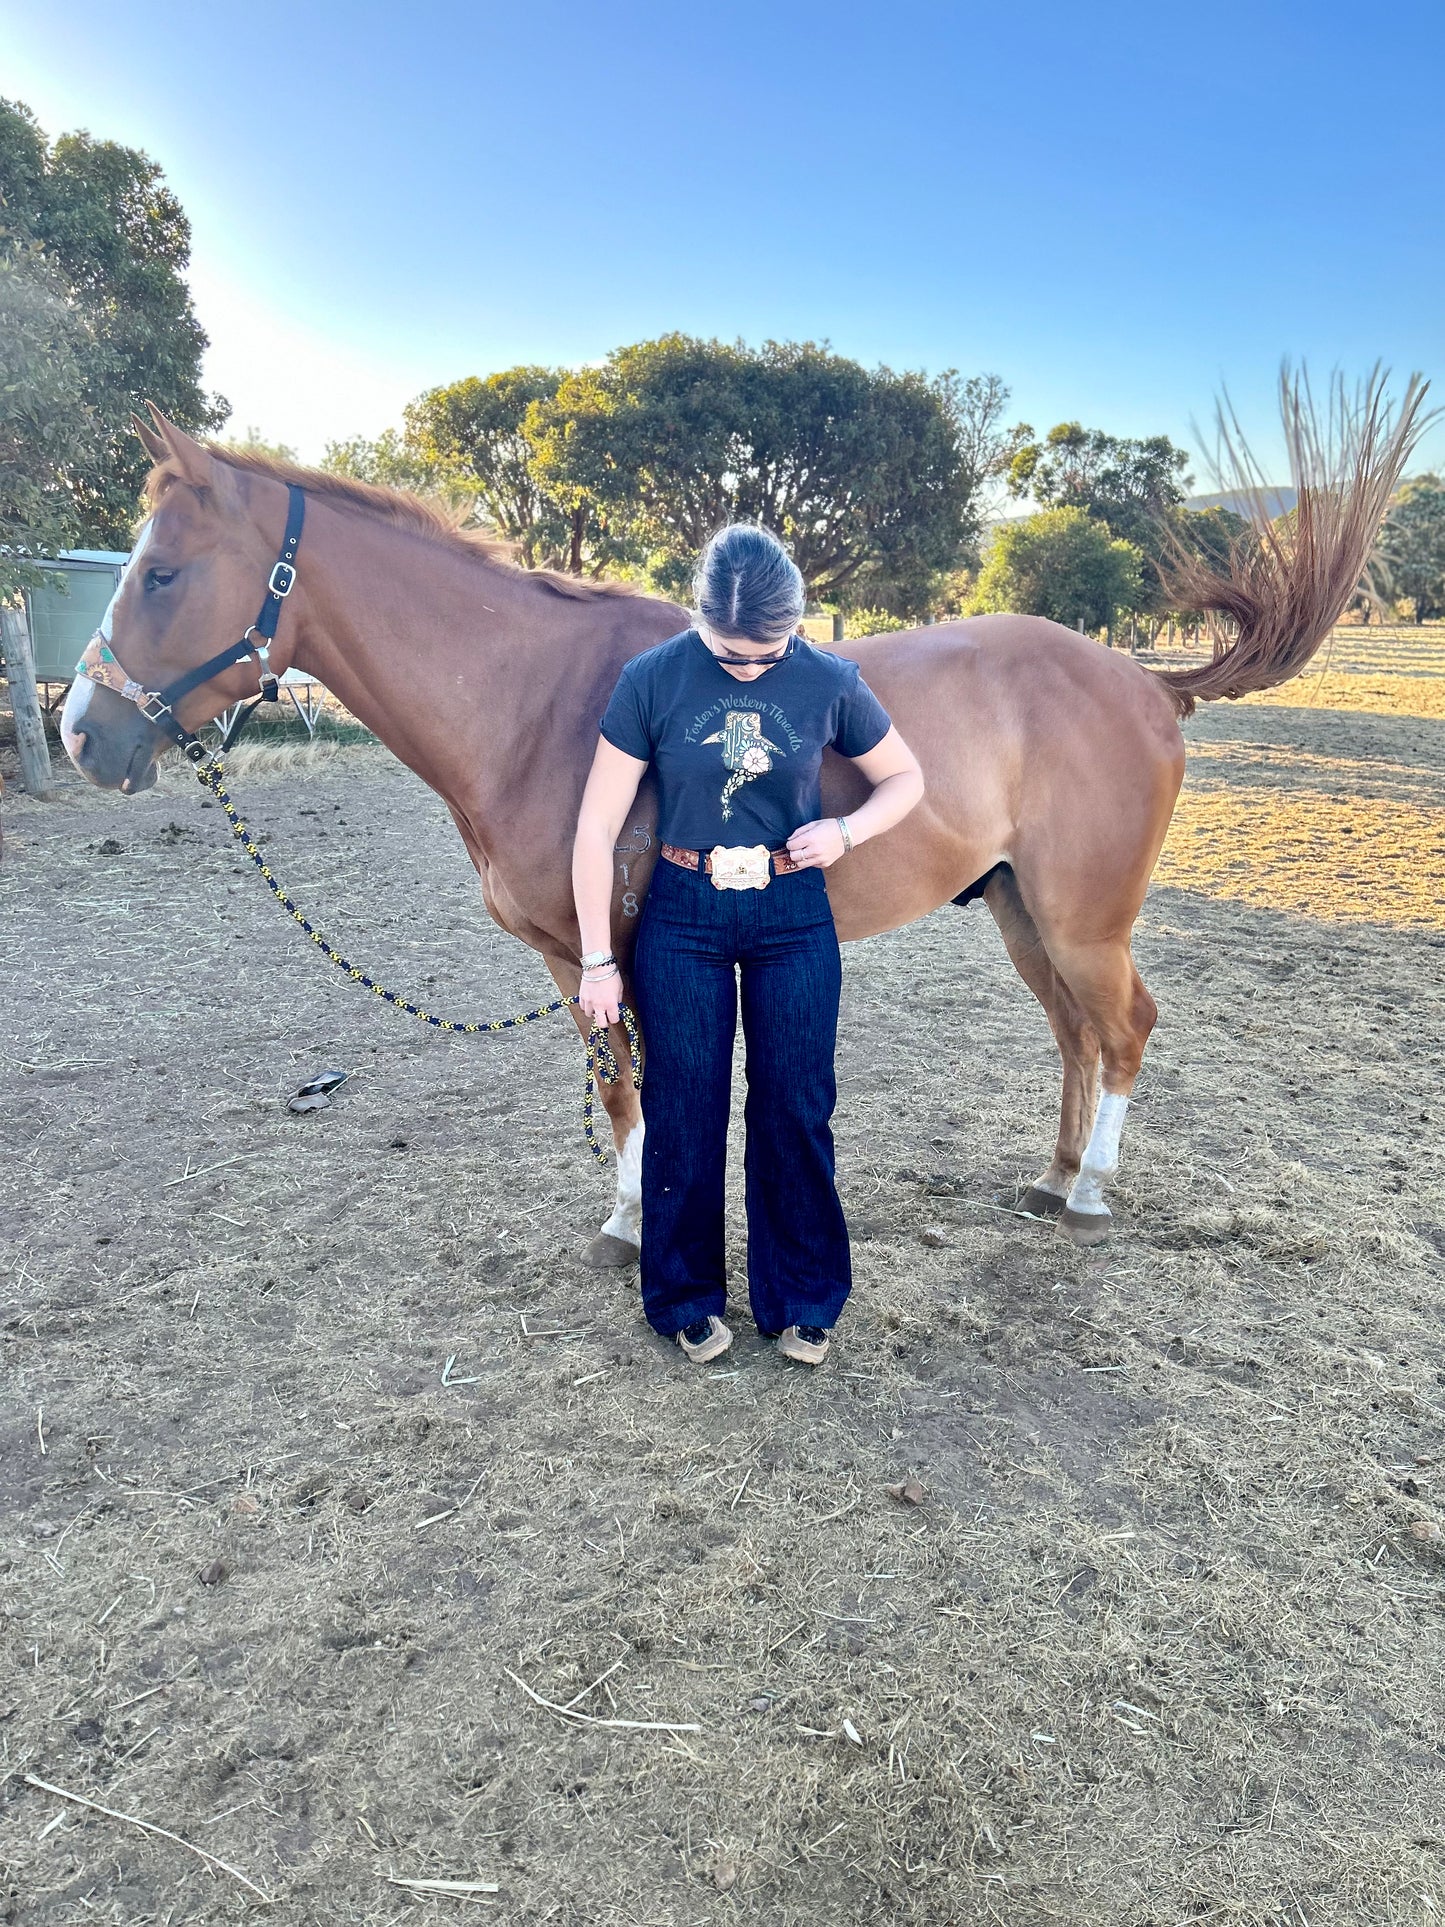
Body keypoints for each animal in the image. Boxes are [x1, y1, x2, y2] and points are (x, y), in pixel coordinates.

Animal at [65, 381, 1425, 1264]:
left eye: (163, 573)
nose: (82, 730)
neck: (540, 702)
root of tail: (1146, 681)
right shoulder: (575, 961)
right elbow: (619, 1092)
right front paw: (629, 1214)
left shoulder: (614, 947)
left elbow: (644, 1091)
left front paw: (649, 1232)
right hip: (1022, 917)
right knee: (1075, 1038)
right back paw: (1048, 1181)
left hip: (1083, 920)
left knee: (1125, 1027)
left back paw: (1089, 1192)